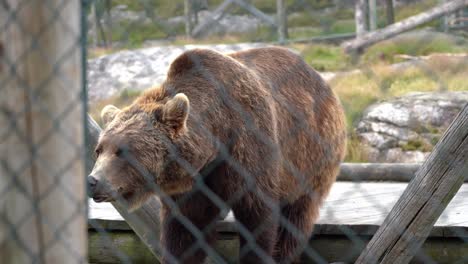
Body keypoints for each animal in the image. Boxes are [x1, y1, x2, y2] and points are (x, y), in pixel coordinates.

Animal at [88, 47, 346, 264]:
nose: (93, 180)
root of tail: (319, 77)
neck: (215, 140)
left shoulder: (249, 151)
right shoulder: (191, 189)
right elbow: (185, 233)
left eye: (124, 151)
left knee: (296, 218)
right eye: (99, 149)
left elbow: (258, 220)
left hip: (310, 157)